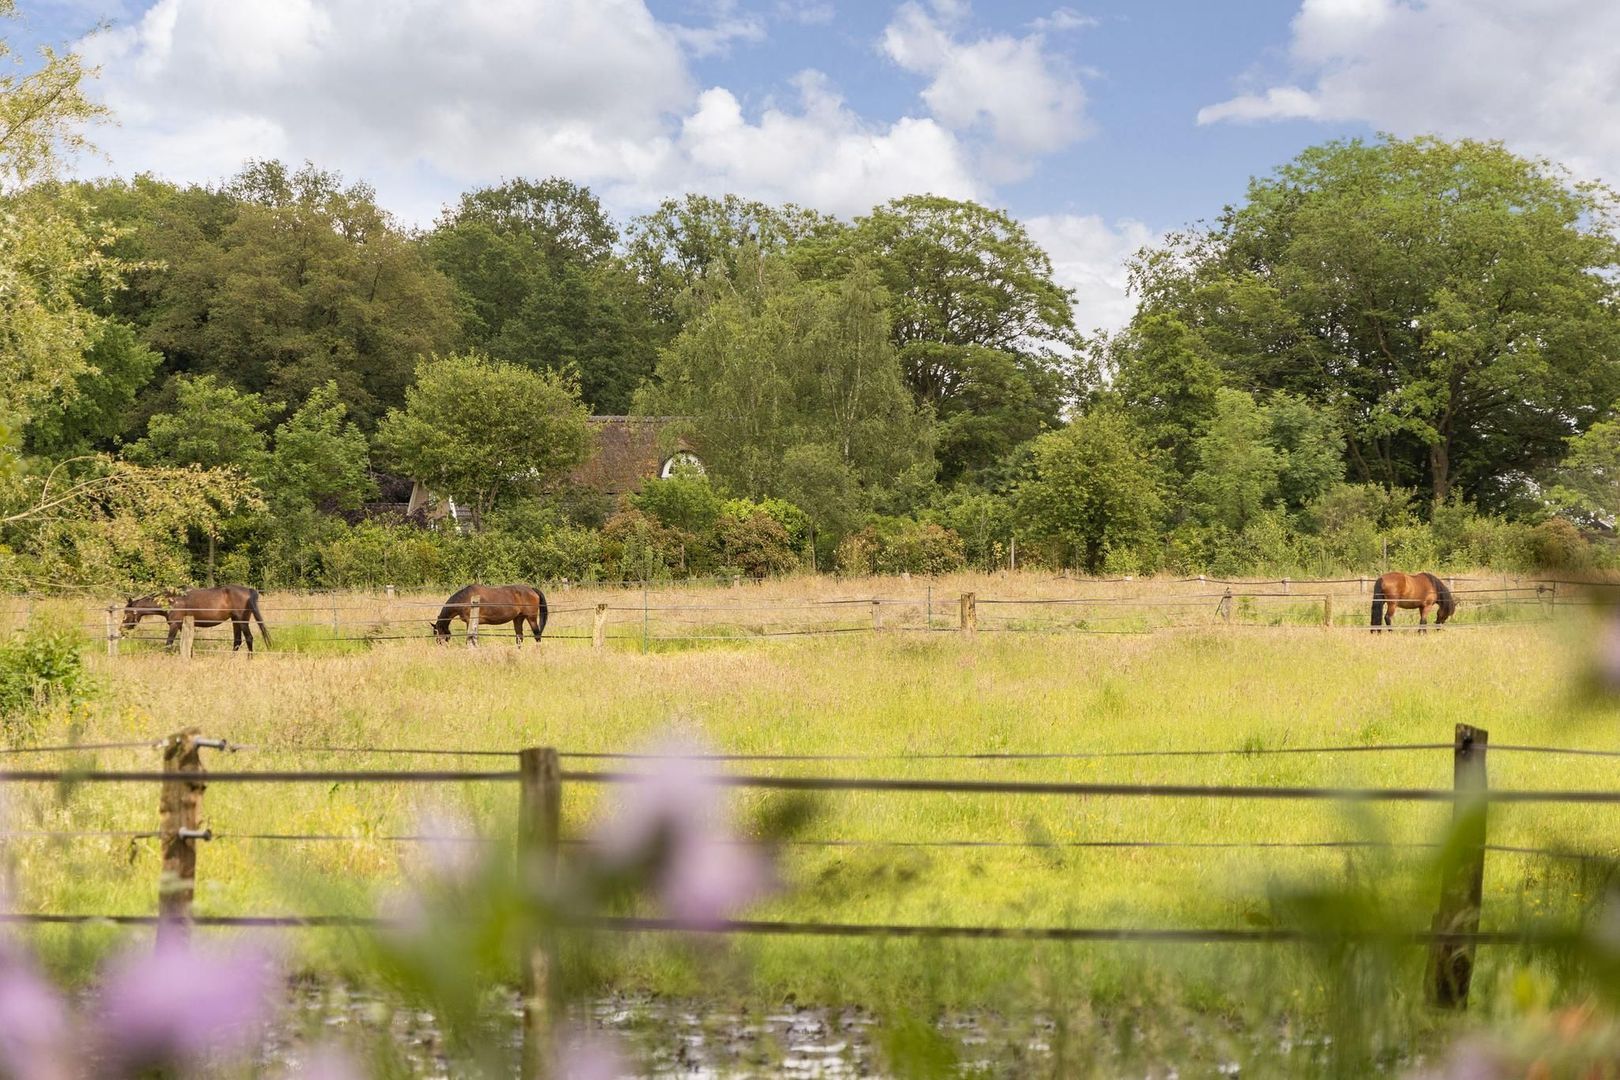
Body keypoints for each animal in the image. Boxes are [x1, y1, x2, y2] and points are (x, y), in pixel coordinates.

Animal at [121, 586, 272, 654]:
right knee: (237, 641)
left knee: (249, 639)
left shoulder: (174, 625)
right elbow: (188, 644)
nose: (121, 630)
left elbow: (168, 644)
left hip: (242, 621)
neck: (172, 600)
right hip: (235, 621)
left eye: (126, 613)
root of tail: (249, 590)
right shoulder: (182, 625)